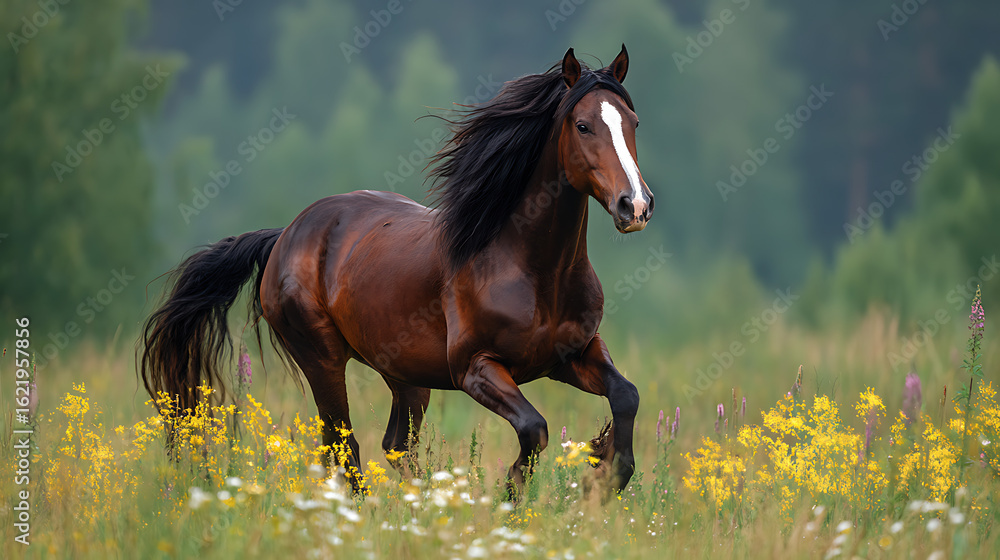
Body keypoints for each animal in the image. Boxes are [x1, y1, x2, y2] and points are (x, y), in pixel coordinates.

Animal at [139, 45, 654, 495]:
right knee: (343, 446)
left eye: (633, 122)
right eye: (583, 125)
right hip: (322, 359)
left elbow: (627, 396)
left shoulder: (573, 354)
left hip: (405, 374)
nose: (635, 205)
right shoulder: (476, 369)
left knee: (394, 447)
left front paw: (602, 475)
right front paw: (512, 501)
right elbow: (534, 429)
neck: (533, 271)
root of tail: (285, 234)